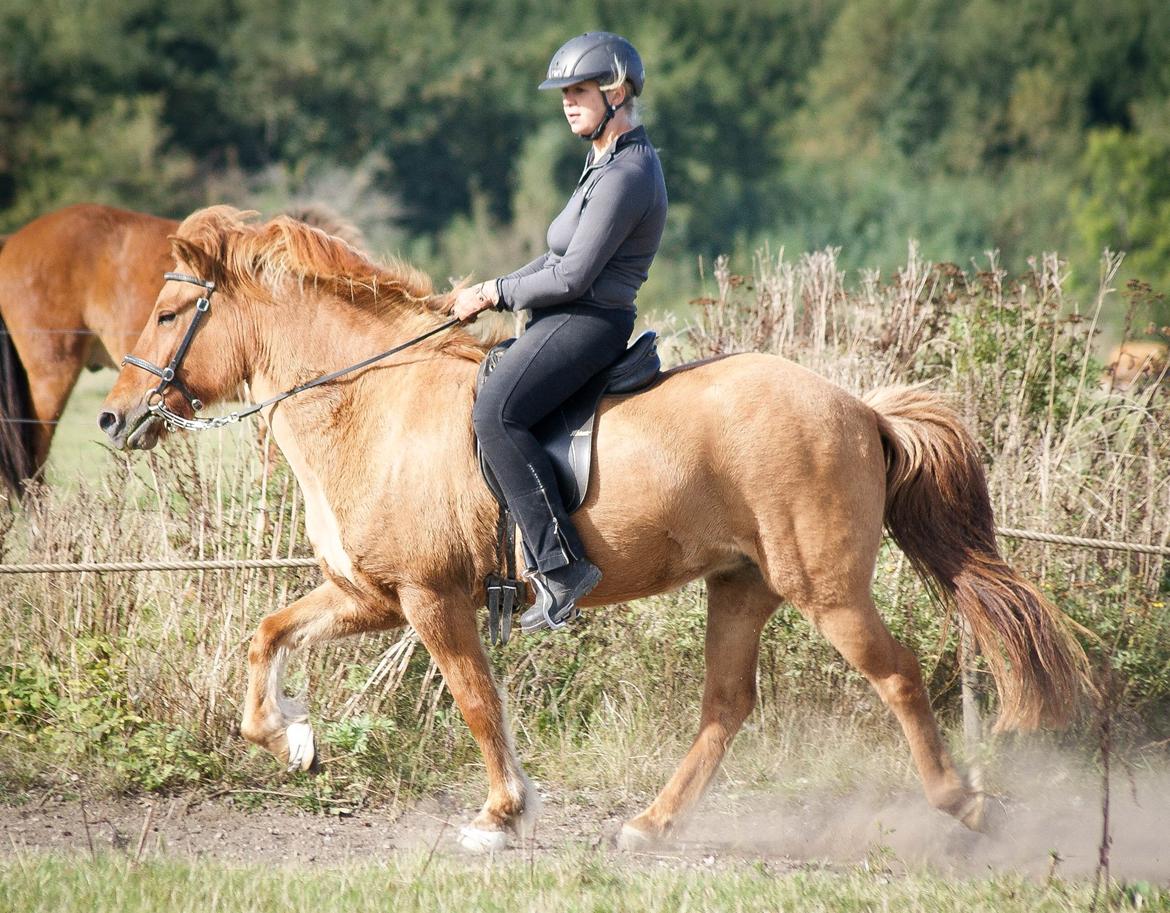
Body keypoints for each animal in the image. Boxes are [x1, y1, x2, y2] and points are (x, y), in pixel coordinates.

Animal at [98, 210, 1085, 852]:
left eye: (167, 313)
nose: (112, 420)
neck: (371, 401)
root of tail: (858, 405)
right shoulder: (372, 593)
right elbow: (267, 634)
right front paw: (294, 741)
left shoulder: (431, 598)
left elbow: (476, 701)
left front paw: (501, 816)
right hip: (741, 585)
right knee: (726, 706)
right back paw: (649, 826)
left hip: (828, 590)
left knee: (897, 676)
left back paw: (969, 806)